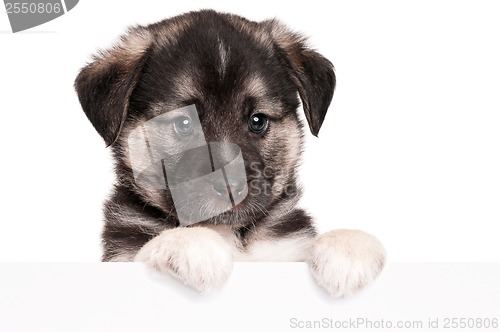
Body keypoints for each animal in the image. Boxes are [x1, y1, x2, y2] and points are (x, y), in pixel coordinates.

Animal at [75, 9, 386, 296]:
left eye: (257, 121)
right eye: (184, 123)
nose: (230, 187)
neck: (229, 231)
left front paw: (349, 248)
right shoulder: (121, 257)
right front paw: (191, 244)